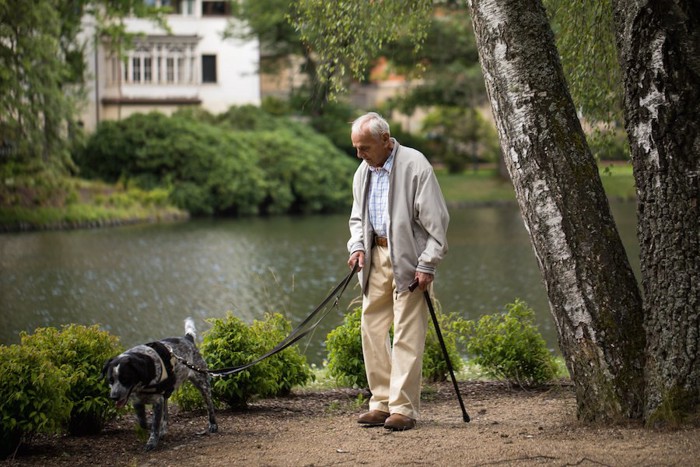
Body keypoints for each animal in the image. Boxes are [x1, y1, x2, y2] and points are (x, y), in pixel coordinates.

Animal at [102, 316, 217, 452]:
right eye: (110, 380)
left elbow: (155, 424)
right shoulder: (138, 402)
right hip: (167, 394)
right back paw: (163, 430)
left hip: (202, 384)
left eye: (125, 379)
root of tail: (187, 338)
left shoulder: (157, 401)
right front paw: (151, 427)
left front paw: (152, 441)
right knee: (165, 414)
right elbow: (143, 422)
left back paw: (213, 425)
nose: (114, 397)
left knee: (210, 406)